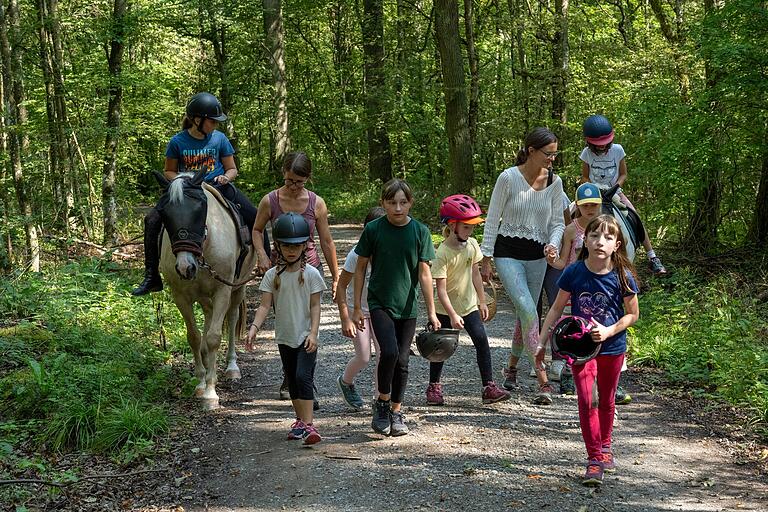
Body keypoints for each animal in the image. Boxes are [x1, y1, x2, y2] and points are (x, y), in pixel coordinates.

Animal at [154, 170, 256, 410]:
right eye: (164, 213)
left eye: (200, 210)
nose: (185, 267)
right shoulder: (180, 296)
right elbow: (194, 336)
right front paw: (201, 384)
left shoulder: (222, 290)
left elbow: (213, 338)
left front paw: (211, 393)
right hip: (202, 295)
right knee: (208, 315)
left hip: (237, 288)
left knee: (232, 318)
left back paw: (231, 368)